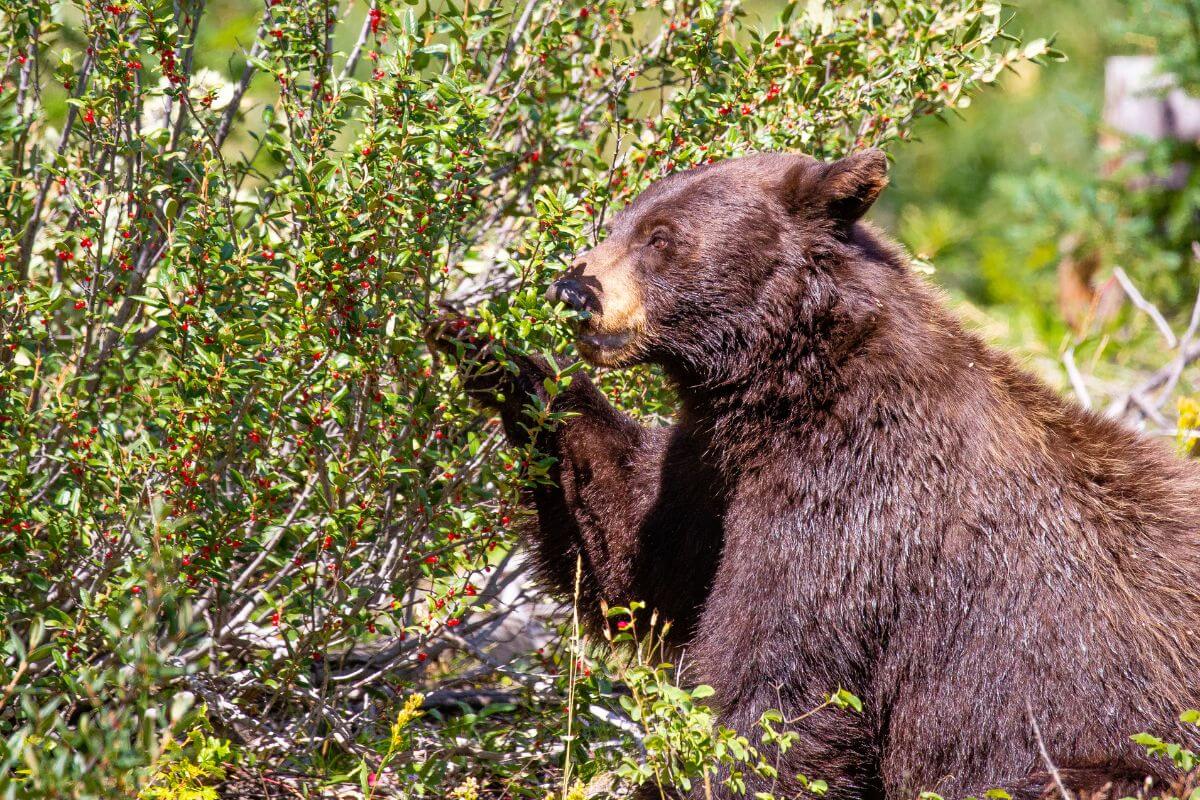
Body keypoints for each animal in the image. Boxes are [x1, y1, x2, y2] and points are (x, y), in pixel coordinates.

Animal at [427, 150, 1200, 800]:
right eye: (619, 223)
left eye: (662, 238)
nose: (573, 290)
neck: (789, 388)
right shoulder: (715, 466)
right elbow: (635, 555)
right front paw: (492, 356)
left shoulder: (847, 501)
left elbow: (774, 681)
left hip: (1119, 742)